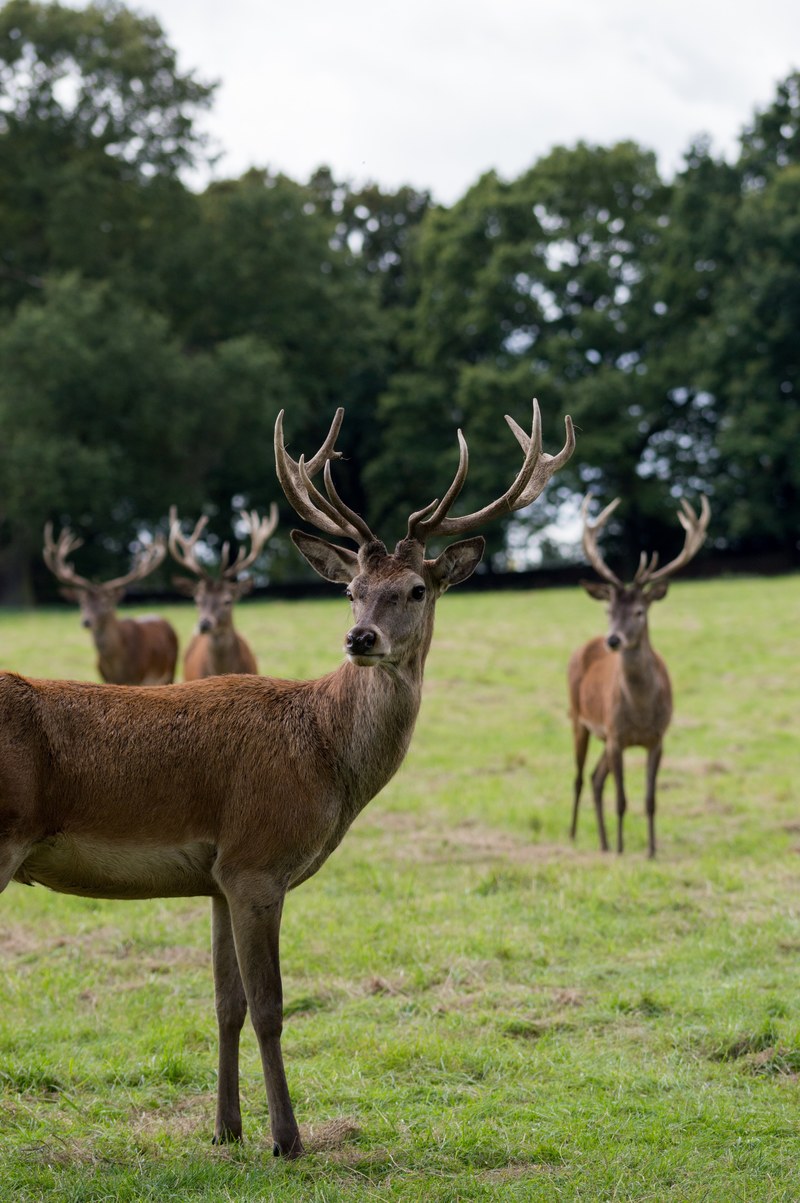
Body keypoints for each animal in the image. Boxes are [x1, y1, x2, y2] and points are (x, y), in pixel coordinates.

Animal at [42, 524, 178, 685]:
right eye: (82, 603)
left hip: (171, 668)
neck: (116, 666)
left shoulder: (137, 677)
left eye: (105, 603)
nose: (86, 621)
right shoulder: (105, 677)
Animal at [568, 493, 711, 858]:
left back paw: (603, 843)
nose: (613, 640)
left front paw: (651, 851)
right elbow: (621, 800)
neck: (642, 712)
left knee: (595, 778)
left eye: (639, 611)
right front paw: (622, 851)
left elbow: (650, 800)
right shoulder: (617, 736)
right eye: (608, 610)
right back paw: (575, 836)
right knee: (579, 778)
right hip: (578, 718)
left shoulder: (657, 738)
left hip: (603, 737)